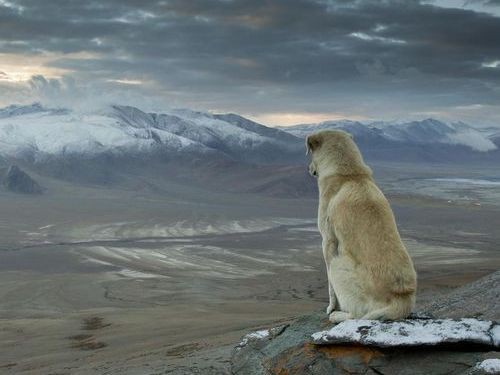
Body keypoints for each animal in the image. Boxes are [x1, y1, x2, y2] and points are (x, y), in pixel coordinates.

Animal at [304, 130, 418, 324]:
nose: (309, 169)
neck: (350, 174)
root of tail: (400, 300)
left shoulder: (327, 242)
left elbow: (330, 289)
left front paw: (331, 308)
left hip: (337, 263)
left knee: (357, 315)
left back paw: (336, 315)